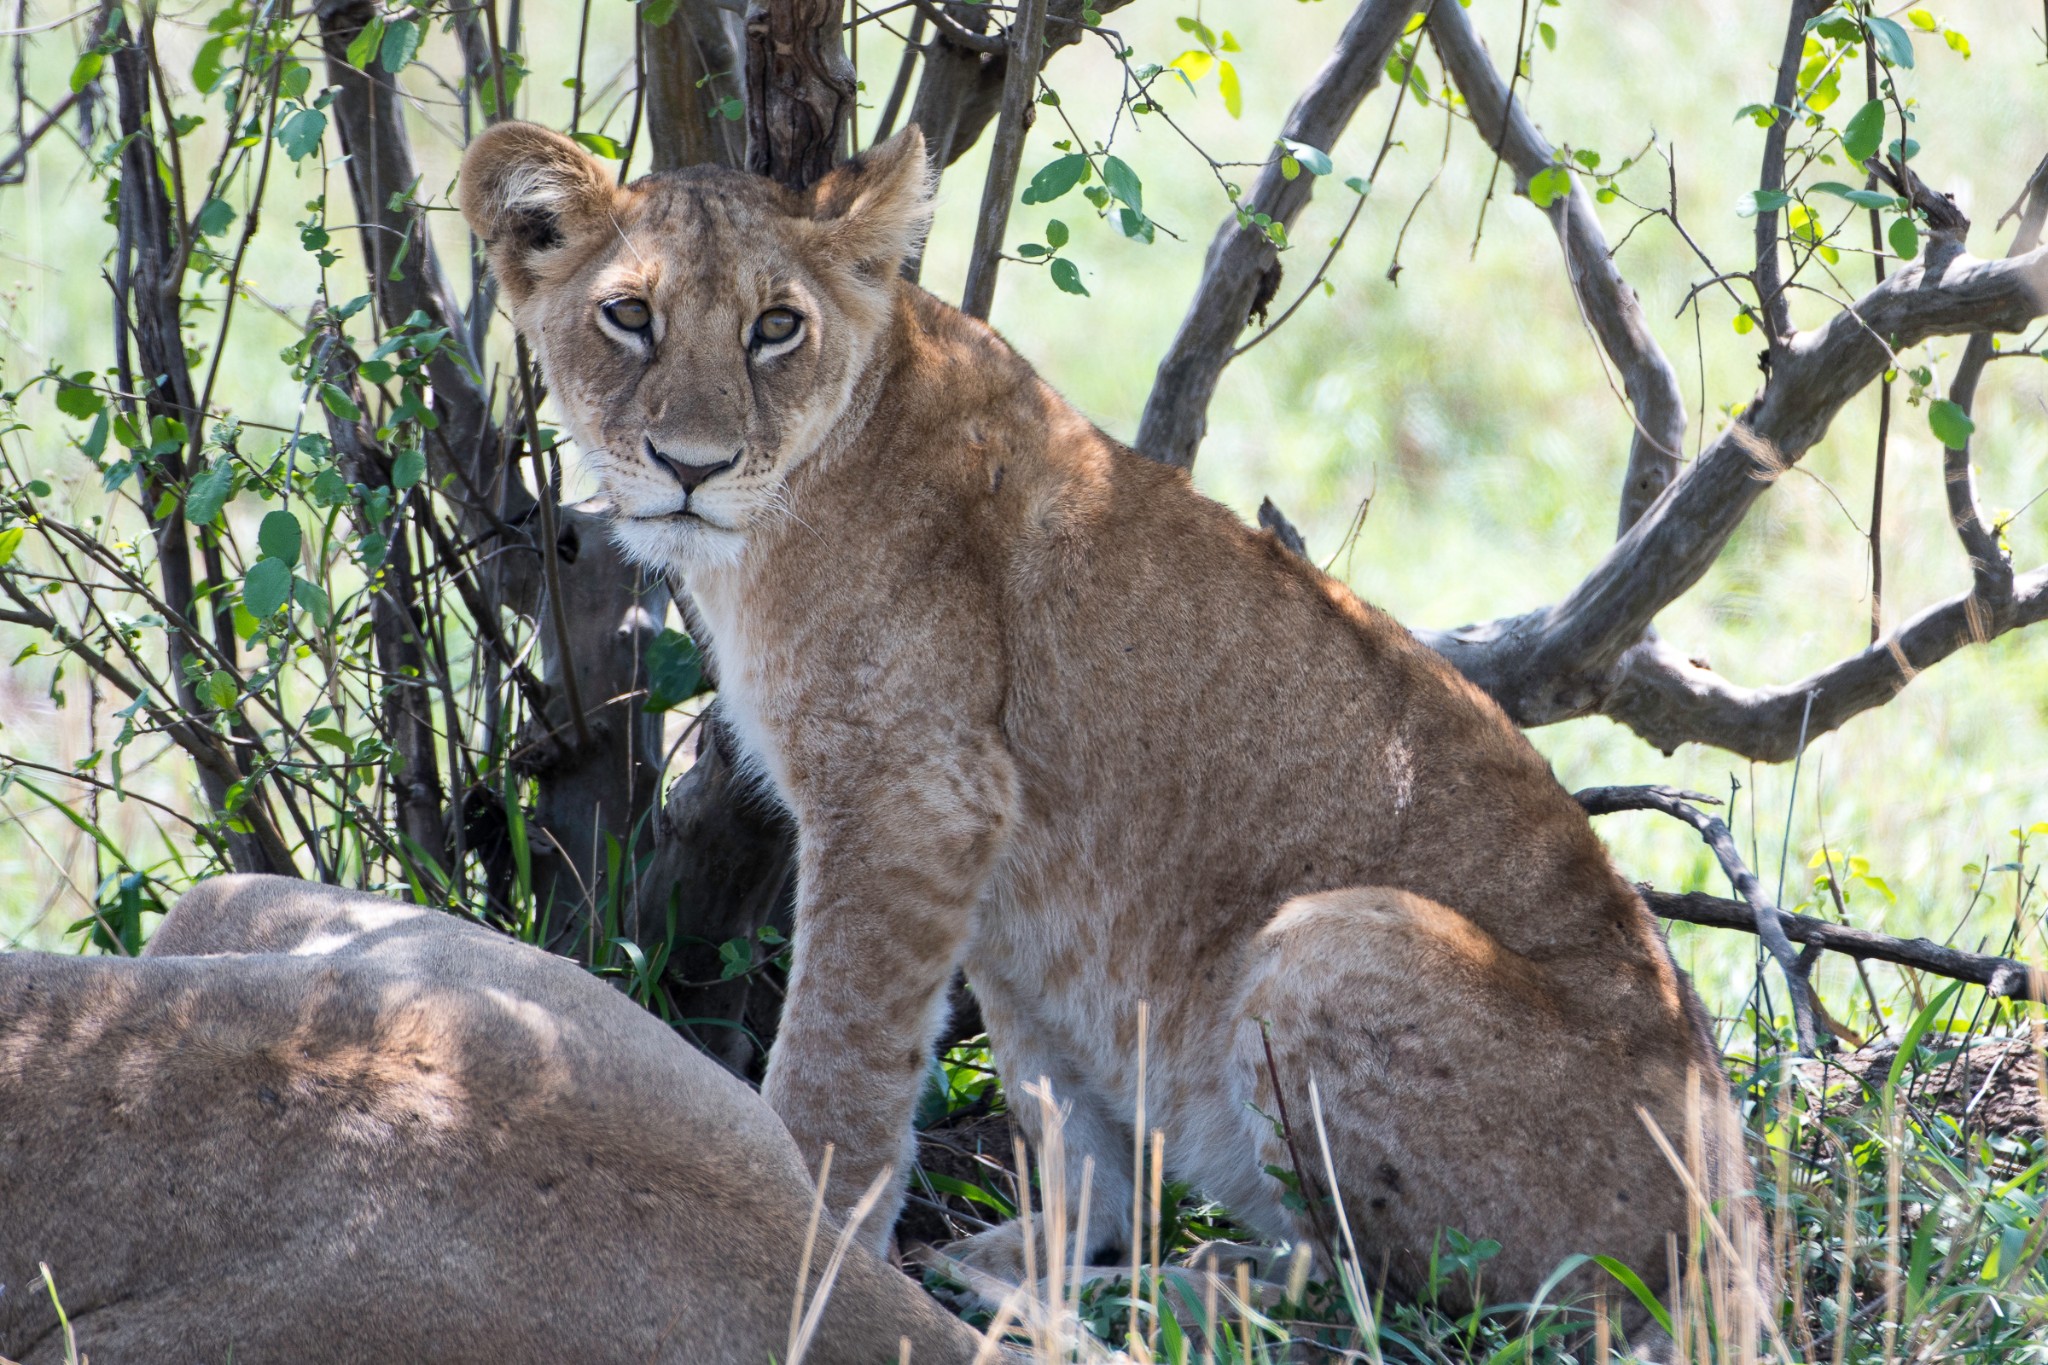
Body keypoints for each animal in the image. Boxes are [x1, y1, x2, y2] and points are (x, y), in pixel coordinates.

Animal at [460, 120, 1761, 1326]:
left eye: (776, 328)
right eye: (628, 316)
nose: (690, 465)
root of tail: (1741, 1246)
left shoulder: (908, 796)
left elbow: (836, 1057)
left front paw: (805, 1252)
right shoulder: (987, 849)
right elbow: (1051, 1108)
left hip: (1334, 936)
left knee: (1353, 1294)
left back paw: (1148, 1299)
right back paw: (1022, 1277)